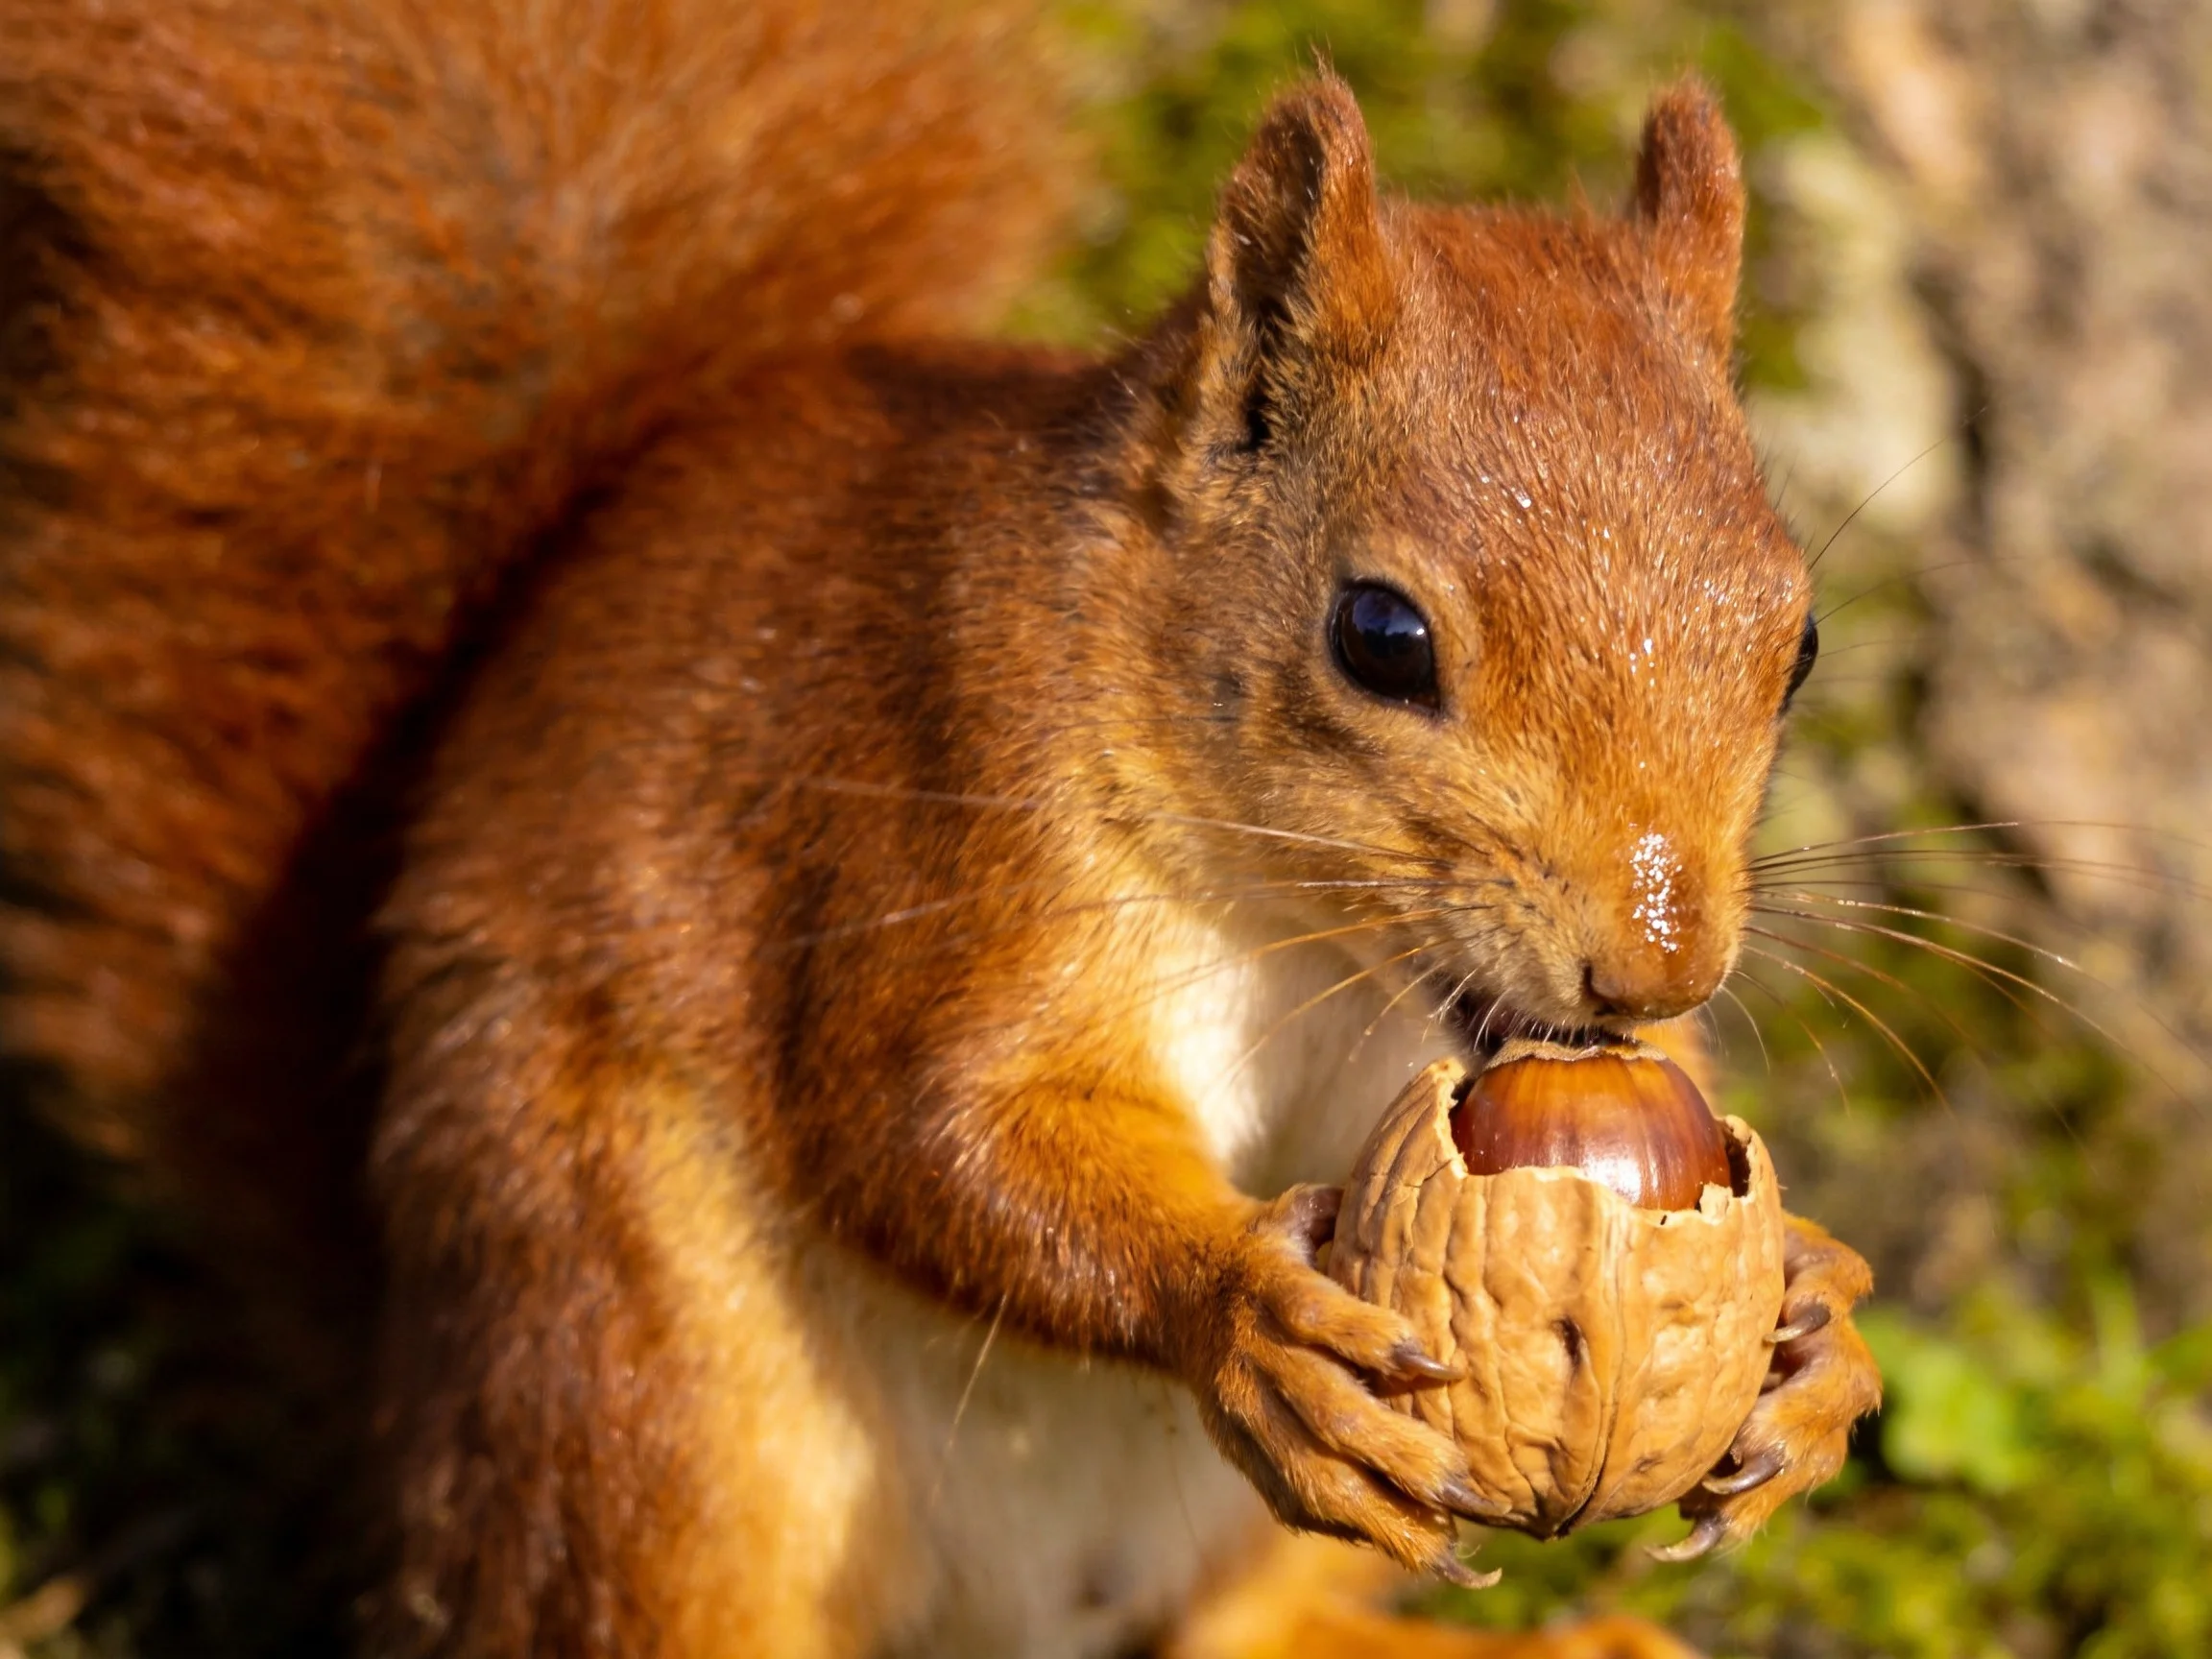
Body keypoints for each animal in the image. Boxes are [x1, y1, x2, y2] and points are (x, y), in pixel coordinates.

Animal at [0, 1, 1882, 1656]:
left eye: (1799, 642)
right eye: (1379, 635)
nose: (1655, 963)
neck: (1309, 936)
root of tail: (403, 1402)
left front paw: (1814, 1315)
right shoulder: (930, 808)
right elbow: (928, 1129)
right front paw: (1243, 1308)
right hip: (635, 1393)